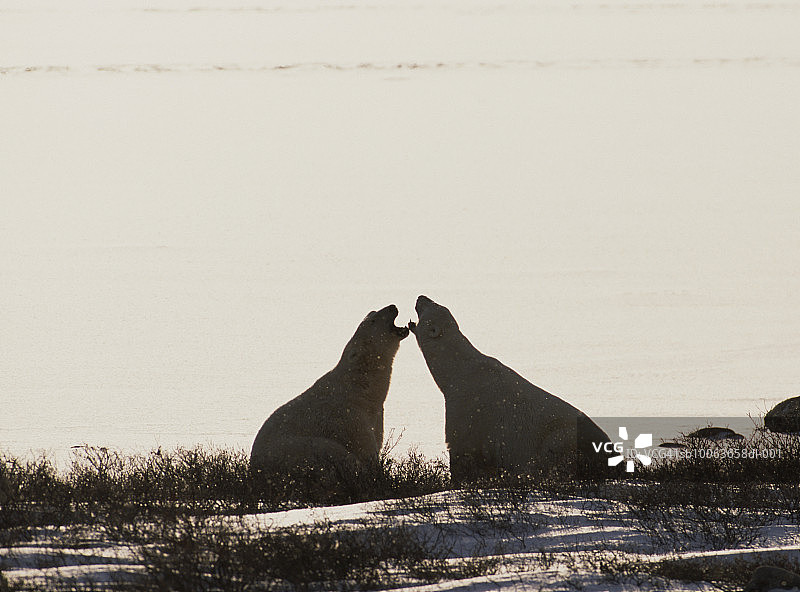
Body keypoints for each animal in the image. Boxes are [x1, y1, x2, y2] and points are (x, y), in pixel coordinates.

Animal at [250, 304, 409, 498]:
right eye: (373, 320)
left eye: (371, 313)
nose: (392, 306)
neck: (359, 388)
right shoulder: (350, 418)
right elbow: (365, 452)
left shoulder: (375, 415)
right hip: (298, 452)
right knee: (334, 455)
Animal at [409, 295, 612, 484]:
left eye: (431, 305)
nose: (421, 296)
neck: (459, 371)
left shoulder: (466, 408)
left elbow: (460, 449)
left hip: (562, 439)